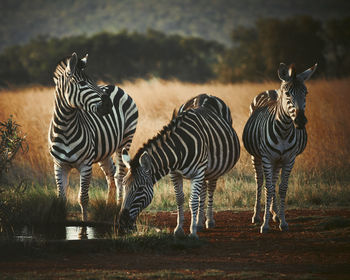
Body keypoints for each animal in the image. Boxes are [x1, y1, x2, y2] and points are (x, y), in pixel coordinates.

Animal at [49, 52, 138, 221]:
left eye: (92, 81)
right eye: (82, 83)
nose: (108, 105)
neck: (65, 127)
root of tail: (114, 86)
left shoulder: (86, 164)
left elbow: (83, 198)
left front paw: (84, 225)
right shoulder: (59, 165)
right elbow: (61, 198)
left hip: (125, 141)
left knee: (119, 176)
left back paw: (118, 208)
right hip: (104, 151)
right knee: (110, 175)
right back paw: (108, 207)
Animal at [117, 94, 241, 238]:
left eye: (140, 189)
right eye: (124, 185)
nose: (121, 224)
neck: (179, 147)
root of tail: (205, 95)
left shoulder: (198, 171)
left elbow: (192, 201)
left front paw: (192, 232)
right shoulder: (174, 173)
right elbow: (180, 199)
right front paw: (179, 229)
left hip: (213, 168)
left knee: (210, 188)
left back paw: (209, 221)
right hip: (205, 171)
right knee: (203, 190)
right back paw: (199, 222)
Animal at [243, 62, 318, 233]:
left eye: (306, 92)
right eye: (288, 93)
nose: (300, 121)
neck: (284, 130)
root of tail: (271, 90)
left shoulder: (289, 159)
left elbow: (282, 188)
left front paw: (283, 222)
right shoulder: (266, 158)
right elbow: (269, 188)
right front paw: (264, 225)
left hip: (278, 161)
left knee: (273, 181)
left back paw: (275, 213)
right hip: (257, 157)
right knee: (260, 182)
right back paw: (257, 216)